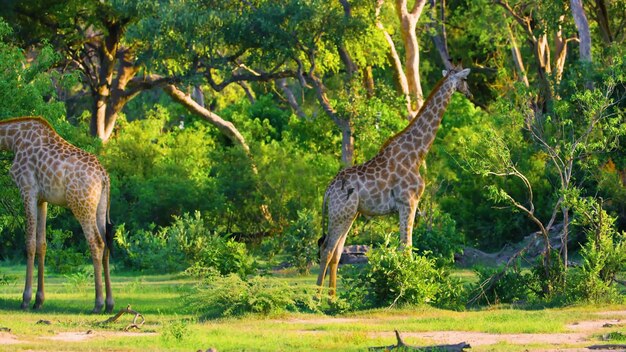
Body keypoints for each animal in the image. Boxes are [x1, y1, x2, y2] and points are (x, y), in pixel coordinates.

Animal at [0, 117, 114, 312]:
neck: (13, 140)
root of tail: (103, 176)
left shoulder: (27, 190)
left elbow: (30, 244)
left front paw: (25, 300)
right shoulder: (42, 199)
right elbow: (42, 244)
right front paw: (39, 301)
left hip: (81, 205)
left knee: (97, 243)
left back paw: (98, 304)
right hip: (100, 207)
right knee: (106, 244)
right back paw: (109, 304)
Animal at [316, 67, 468, 296]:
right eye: (466, 79)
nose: (470, 92)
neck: (417, 153)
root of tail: (328, 191)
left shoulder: (405, 205)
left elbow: (405, 247)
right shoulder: (409, 202)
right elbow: (407, 248)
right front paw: (408, 289)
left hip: (348, 214)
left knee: (336, 252)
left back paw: (333, 298)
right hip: (340, 213)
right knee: (327, 250)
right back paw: (315, 298)